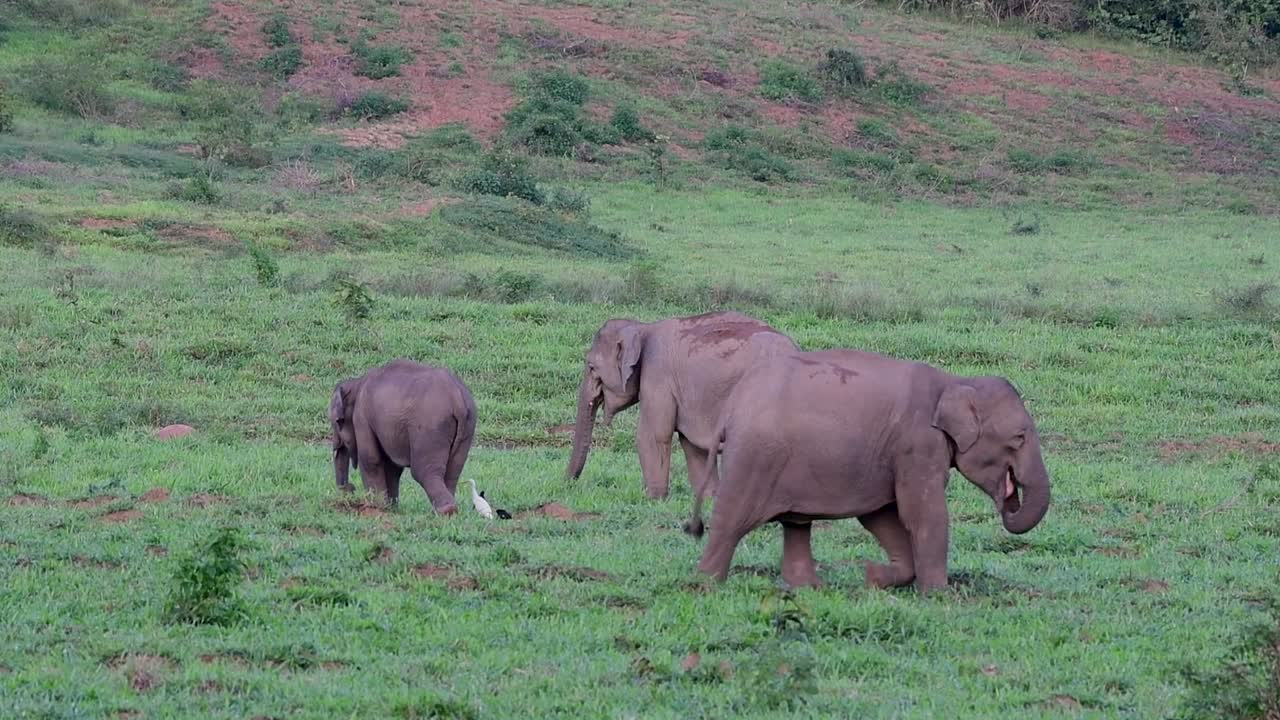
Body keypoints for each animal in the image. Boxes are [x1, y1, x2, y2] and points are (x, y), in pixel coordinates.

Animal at [329, 359, 477, 514]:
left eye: (337, 422)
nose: (350, 488)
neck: (357, 382)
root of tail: (457, 398)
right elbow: (392, 467)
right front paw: (391, 508)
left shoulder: (362, 417)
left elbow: (370, 459)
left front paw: (377, 507)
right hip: (467, 427)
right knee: (453, 470)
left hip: (430, 428)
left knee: (423, 471)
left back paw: (446, 510)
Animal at [566, 311, 798, 499]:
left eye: (591, 366)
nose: (568, 483)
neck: (643, 328)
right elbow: (692, 445)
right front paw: (708, 498)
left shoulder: (658, 376)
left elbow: (653, 434)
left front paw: (654, 499)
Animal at [683, 348, 1051, 592]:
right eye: (1019, 437)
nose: (1009, 503)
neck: (955, 381)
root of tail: (731, 407)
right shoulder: (917, 447)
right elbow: (924, 513)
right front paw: (938, 595)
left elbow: (881, 515)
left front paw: (873, 576)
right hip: (755, 457)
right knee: (731, 519)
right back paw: (706, 585)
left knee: (796, 523)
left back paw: (811, 588)